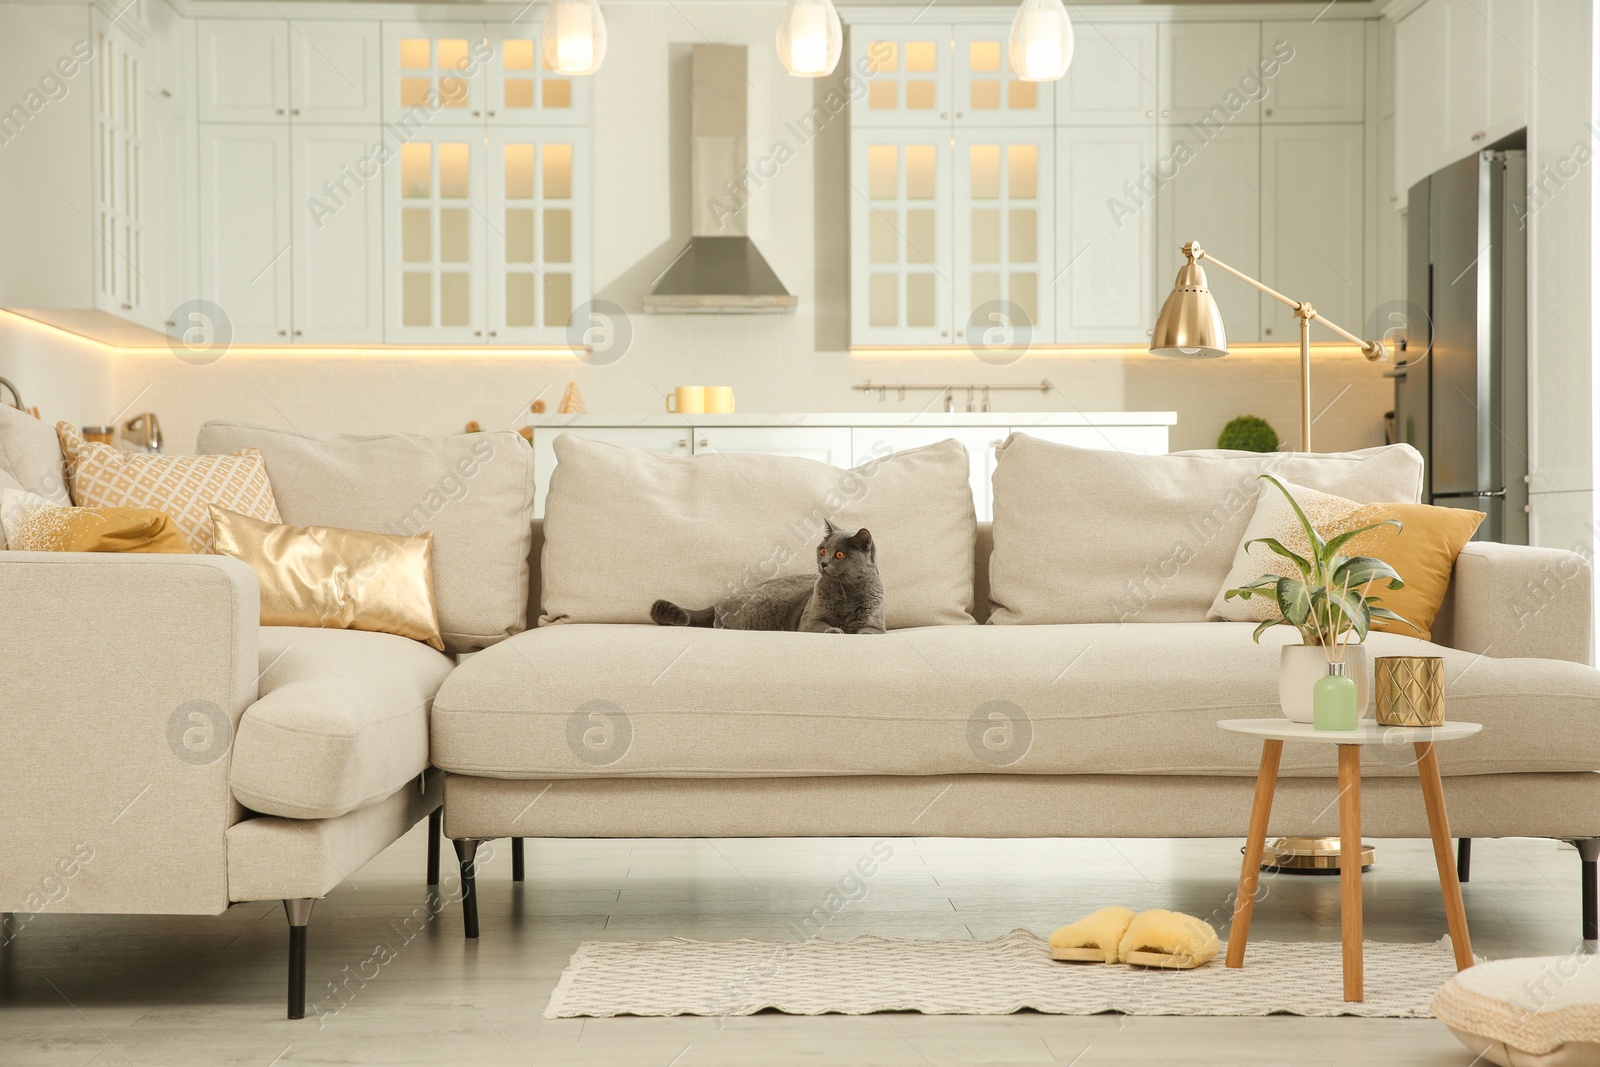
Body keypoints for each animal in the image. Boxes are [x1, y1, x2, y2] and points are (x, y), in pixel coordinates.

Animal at [646, 524, 889, 633]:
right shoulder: (810, 619)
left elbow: (866, 631)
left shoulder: (876, 626)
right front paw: (835, 630)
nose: (823, 563)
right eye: (822, 550)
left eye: (839, 555)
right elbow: (821, 625)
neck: (846, 591)